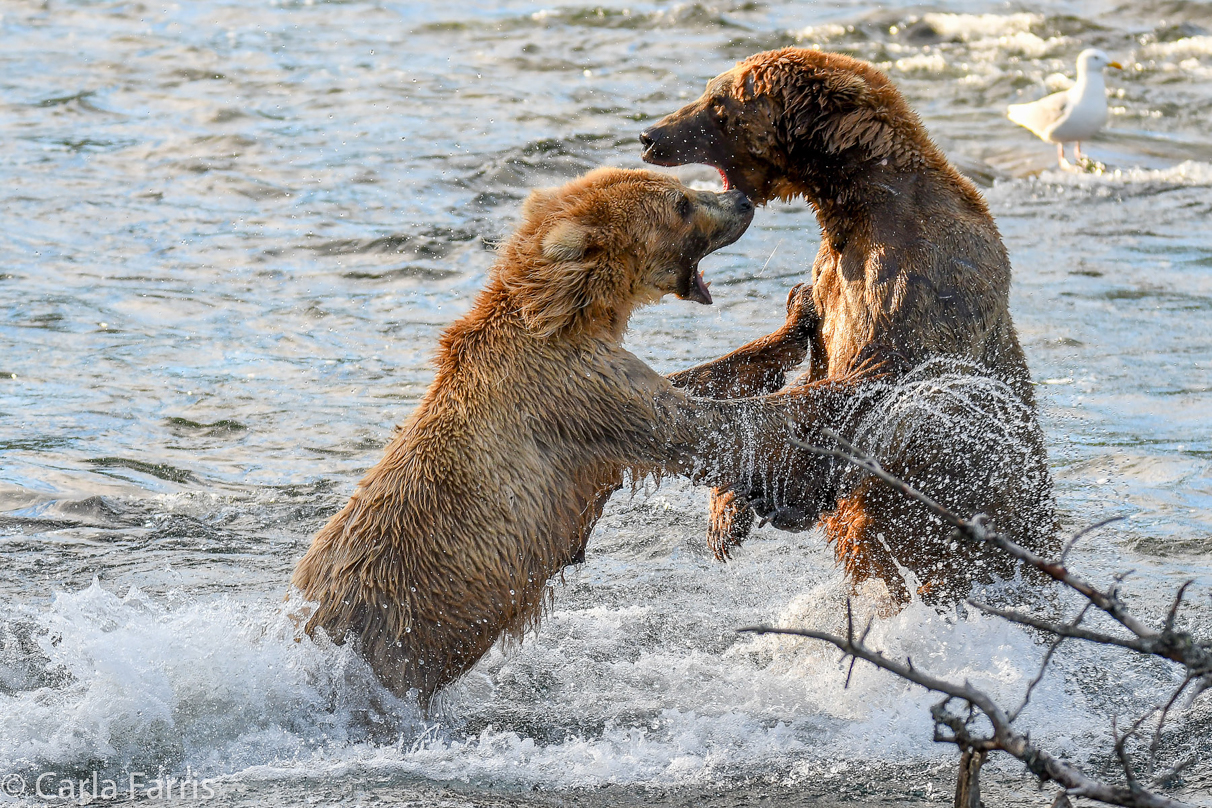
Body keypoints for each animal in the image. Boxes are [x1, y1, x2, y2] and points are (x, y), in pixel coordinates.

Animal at [289, 169, 848, 707]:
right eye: (682, 202)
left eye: (682, 187)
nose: (742, 201)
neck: (572, 311)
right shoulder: (576, 395)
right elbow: (702, 426)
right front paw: (830, 368)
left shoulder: (601, 377)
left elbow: (696, 381)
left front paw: (794, 317)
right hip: (391, 639)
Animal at [639, 49, 1056, 600]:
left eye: (716, 103)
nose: (649, 135)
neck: (853, 199)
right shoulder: (830, 280)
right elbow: (786, 348)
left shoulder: (910, 283)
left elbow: (860, 384)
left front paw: (731, 491)